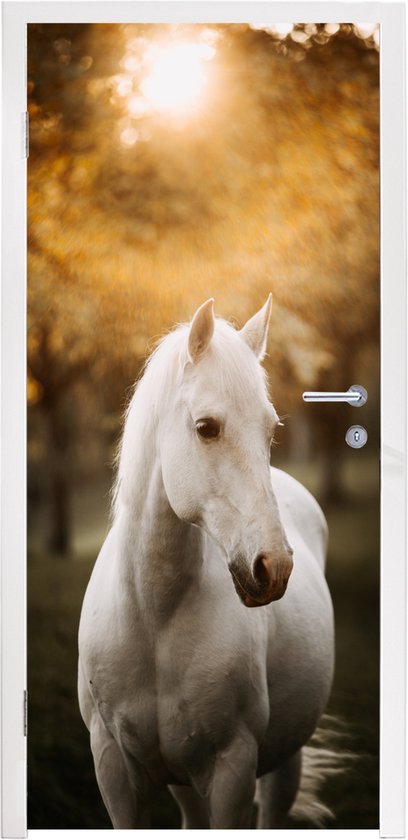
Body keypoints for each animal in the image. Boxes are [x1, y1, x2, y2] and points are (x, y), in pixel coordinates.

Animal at [78, 296, 335, 829]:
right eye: (206, 428)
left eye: (271, 429)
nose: (274, 567)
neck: (153, 617)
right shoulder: (112, 767)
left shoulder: (233, 770)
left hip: (284, 763)